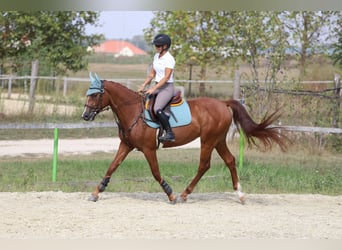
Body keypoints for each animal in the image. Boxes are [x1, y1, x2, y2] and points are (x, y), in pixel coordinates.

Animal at [82, 77, 286, 203]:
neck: (133, 112)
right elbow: (112, 166)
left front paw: (170, 194)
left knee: (204, 165)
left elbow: (155, 172)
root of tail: (223, 103)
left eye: (95, 94)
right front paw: (96, 192)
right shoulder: (126, 145)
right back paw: (240, 195)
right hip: (218, 140)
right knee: (230, 160)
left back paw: (183, 194)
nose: (85, 115)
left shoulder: (149, 149)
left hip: (208, 140)